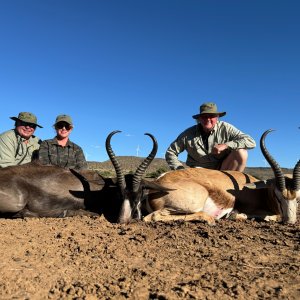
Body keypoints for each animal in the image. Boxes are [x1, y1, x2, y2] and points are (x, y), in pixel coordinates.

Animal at [109, 129, 298, 225]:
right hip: (195, 203)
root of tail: (158, 181)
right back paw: (211, 220)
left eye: (298, 198)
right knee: (154, 217)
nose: (291, 222)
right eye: (278, 195)